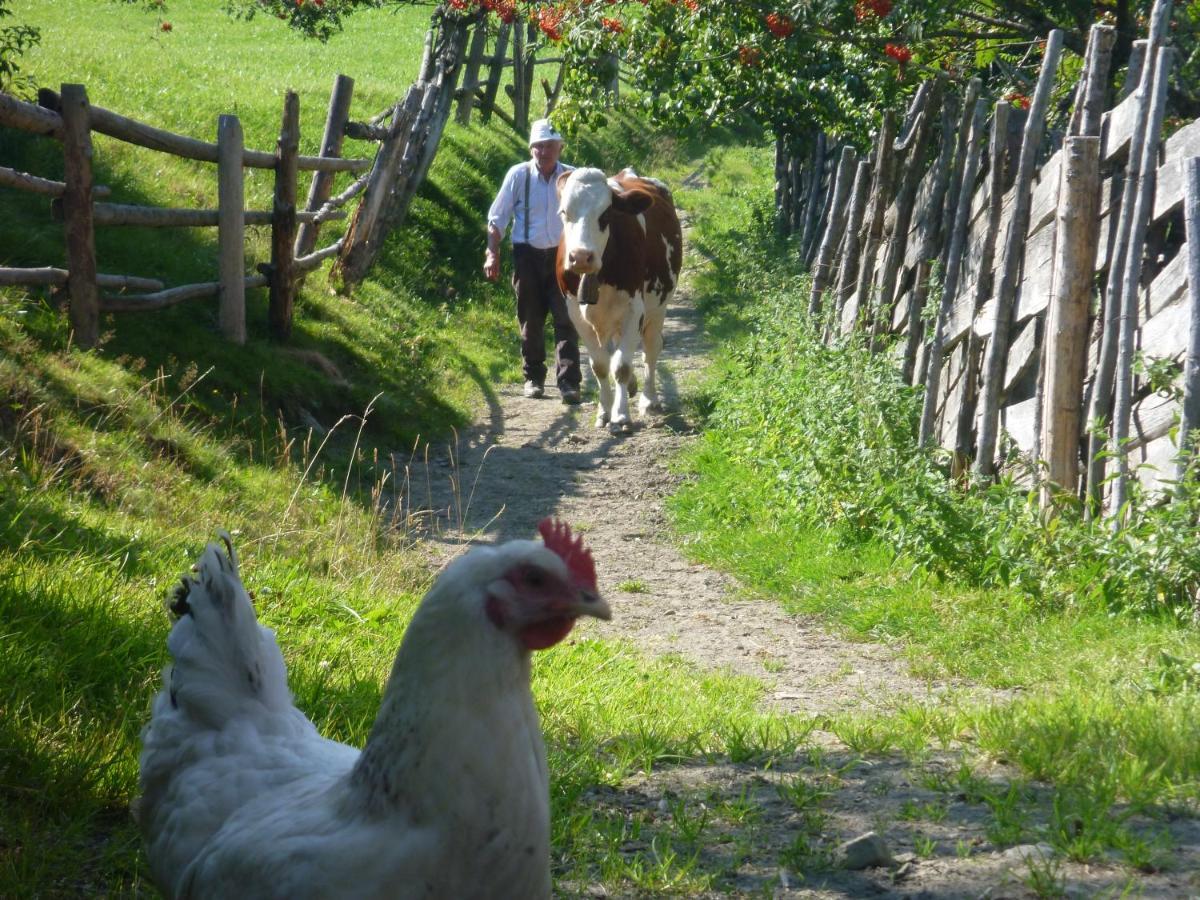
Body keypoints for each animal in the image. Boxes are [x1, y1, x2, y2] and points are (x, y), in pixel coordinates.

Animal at [554, 170, 681, 436]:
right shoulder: (576, 313)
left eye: (606, 214)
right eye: (564, 212)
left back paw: (649, 400)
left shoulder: (634, 310)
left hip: (658, 308)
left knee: (651, 350)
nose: (581, 256)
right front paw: (604, 412)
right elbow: (601, 365)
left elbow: (621, 366)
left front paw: (621, 415)